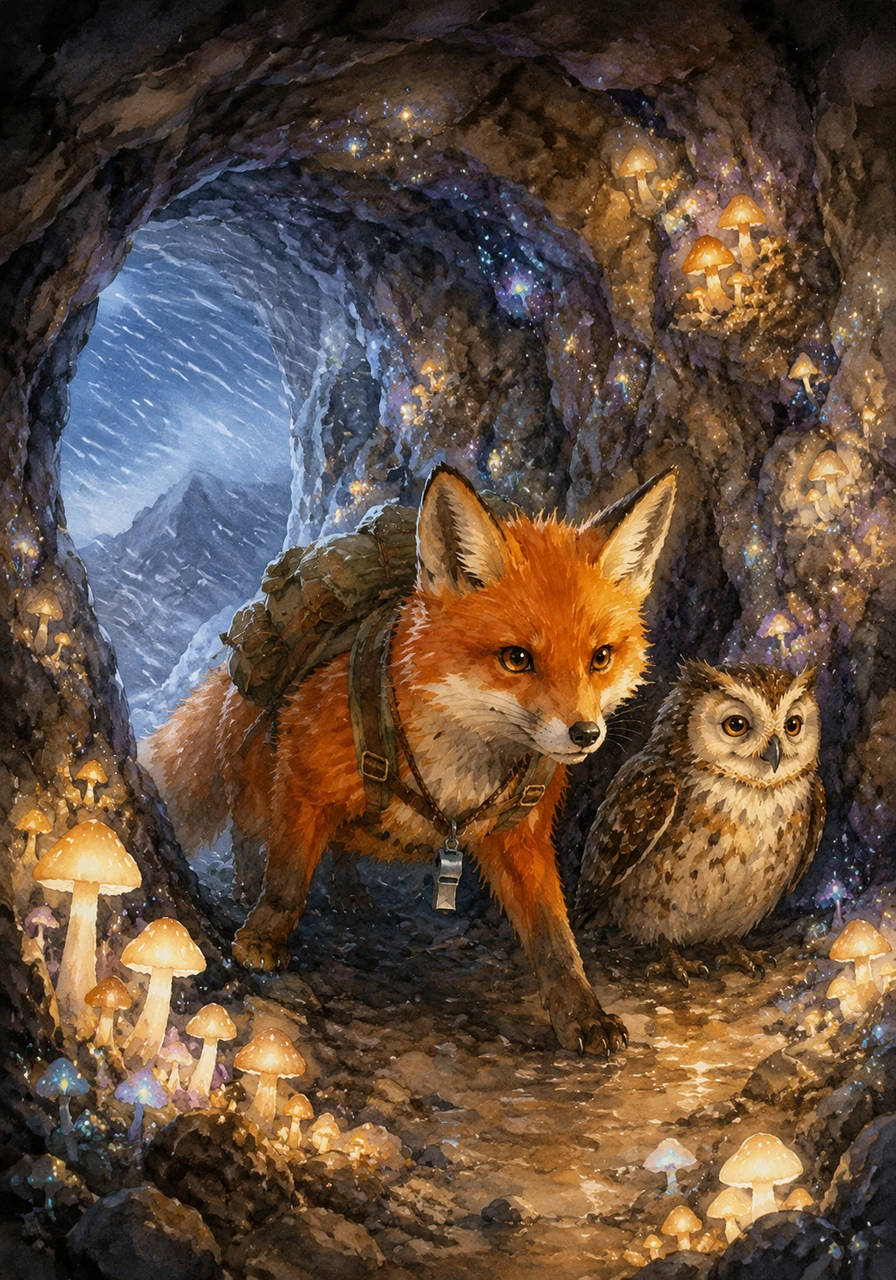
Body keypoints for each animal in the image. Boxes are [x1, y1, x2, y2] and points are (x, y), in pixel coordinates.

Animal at [142, 465, 677, 1055]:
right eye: (517, 658)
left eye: (600, 658)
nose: (585, 734)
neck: (454, 774)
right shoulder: (303, 780)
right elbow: (286, 878)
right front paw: (262, 935)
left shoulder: (522, 833)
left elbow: (555, 938)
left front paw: (581, 1011)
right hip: (261, 781)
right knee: (250, 835)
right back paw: (248, 886)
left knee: (339, 848)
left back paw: (349, 892)